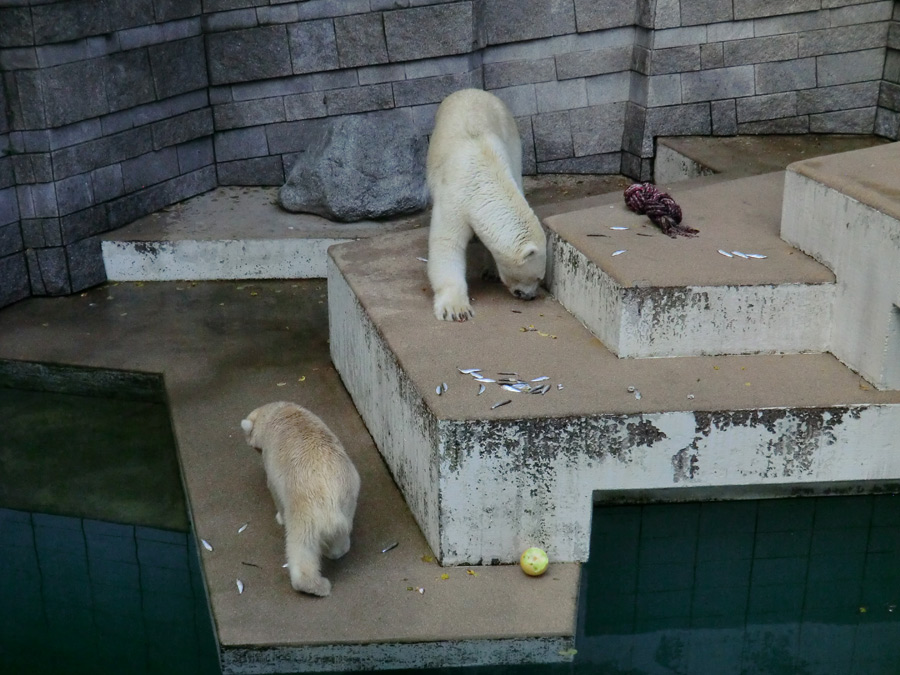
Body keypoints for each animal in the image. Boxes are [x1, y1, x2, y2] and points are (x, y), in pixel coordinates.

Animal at [426, 89, 544, 322]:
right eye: (536, 277)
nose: (530, 296)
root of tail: (472, 90)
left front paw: (491, 271)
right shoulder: (453, 196)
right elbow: (447, 243)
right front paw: (456, 310)